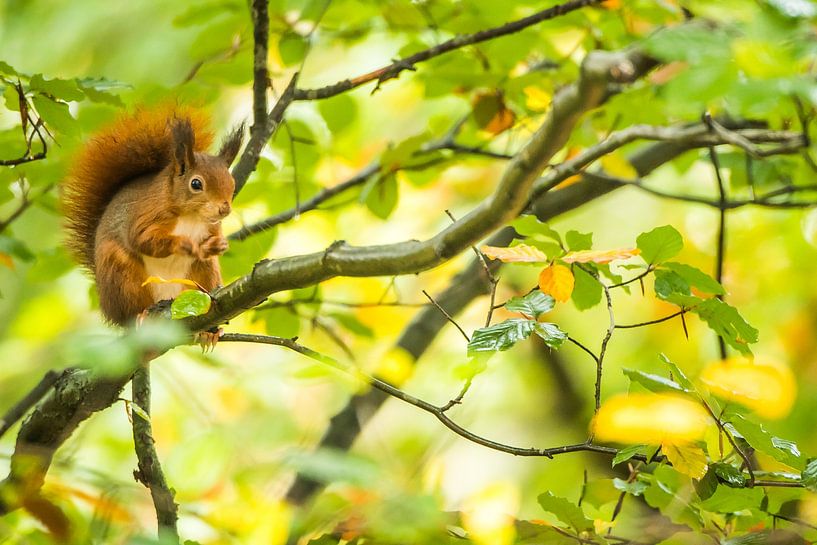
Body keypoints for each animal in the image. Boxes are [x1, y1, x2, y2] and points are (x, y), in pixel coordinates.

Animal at [62, 105, 244, 328]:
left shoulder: (211, 226)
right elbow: (142, 239)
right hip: (123, 276)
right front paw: (183, 243)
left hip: (203, 274)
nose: (224, 210)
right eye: (196, 184)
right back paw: (142, 314)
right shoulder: (148, 215)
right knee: (132, 308)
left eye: (231, 182)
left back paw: (209, 331)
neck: (191, 218)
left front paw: (218, 245)